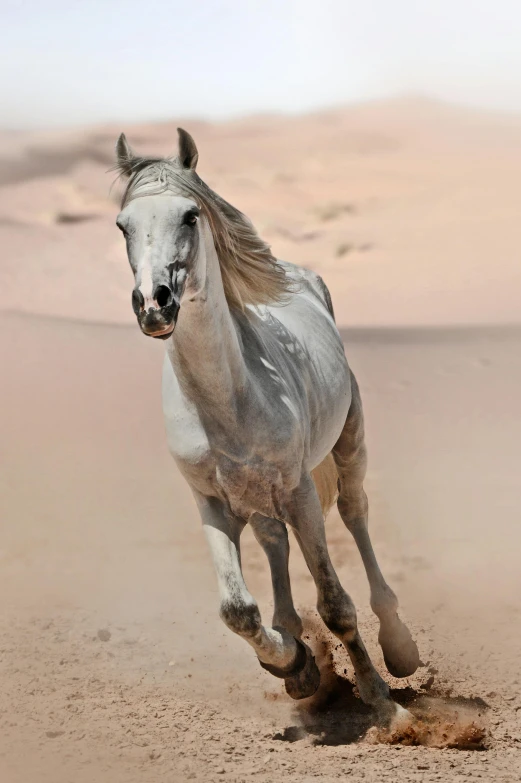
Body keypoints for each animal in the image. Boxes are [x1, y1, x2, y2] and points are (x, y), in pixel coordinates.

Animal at [112, 130, 418, 728]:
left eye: (190, 215)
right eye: (123, 225)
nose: (154, 304)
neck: (228, 400)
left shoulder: (299, 491)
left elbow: (336, 605)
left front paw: (383, 703)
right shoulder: (211, 502)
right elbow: (237, 610)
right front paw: (294, 664)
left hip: (347, 447)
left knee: (355, 515)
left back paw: (398, 647)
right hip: (256, 499)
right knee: (274, 542)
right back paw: (295, 646)